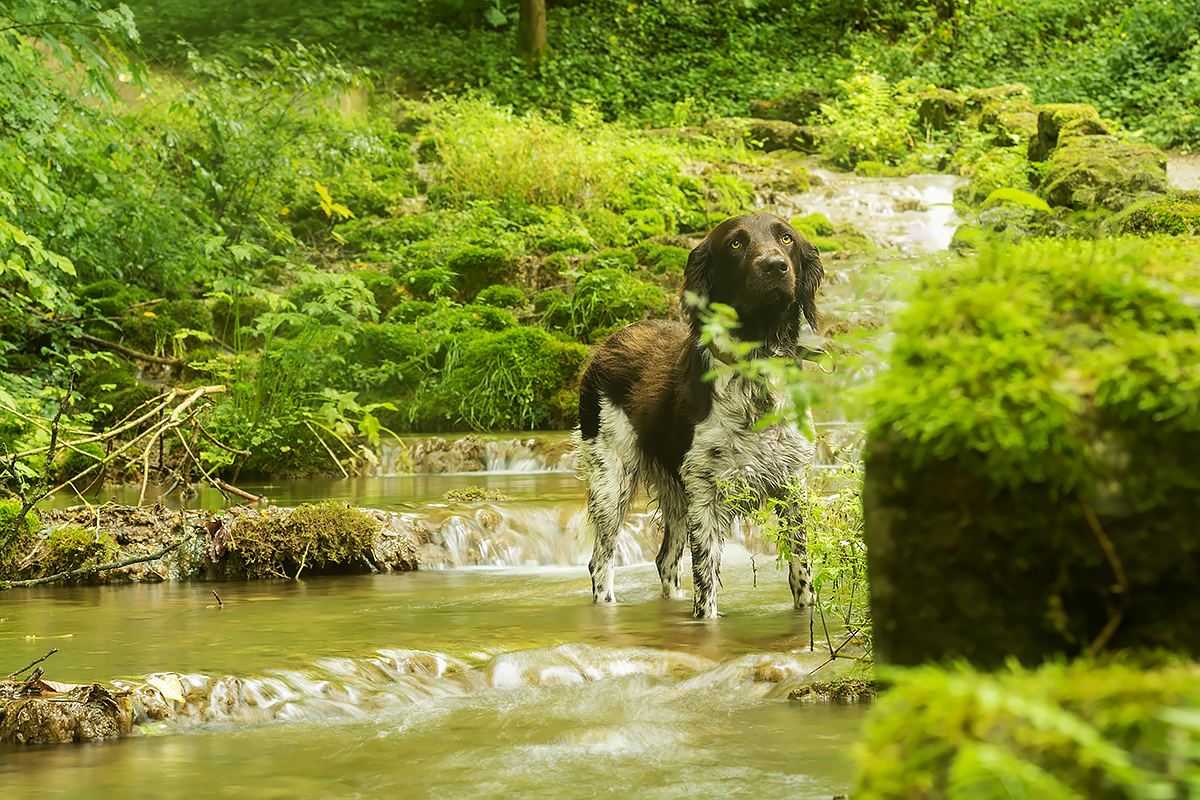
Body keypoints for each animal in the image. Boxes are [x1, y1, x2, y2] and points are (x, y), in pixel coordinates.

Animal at [573, 212, 820, 618]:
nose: (775, 266)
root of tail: (608, 342)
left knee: (664, 561)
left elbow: (802, 572)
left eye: (786, 238)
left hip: (675, 491)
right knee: (601, 562)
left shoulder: (791, 481)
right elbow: (706, 587)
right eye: (735, 243)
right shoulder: (706, 492)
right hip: (613, 478)